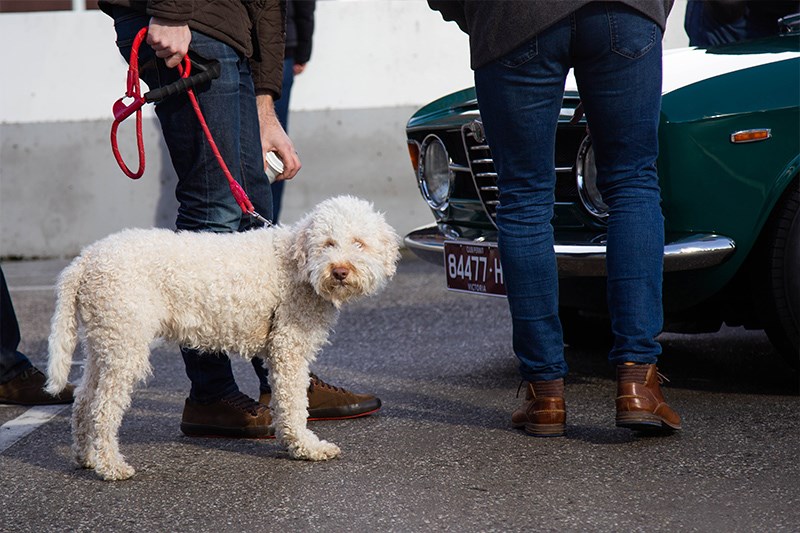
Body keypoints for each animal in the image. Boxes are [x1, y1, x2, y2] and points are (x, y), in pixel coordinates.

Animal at [47, 196, 400, 482]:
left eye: (359, 243)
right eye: (327, 243)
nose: (339, 271)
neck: (295, 264)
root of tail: (85, 260)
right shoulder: (288, 347)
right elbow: (293, 404)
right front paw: (305, 446)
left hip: (104, 340)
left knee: (83, 400)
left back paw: (86, 457)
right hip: (124, 342)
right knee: (103, 408)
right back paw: (111, 466)